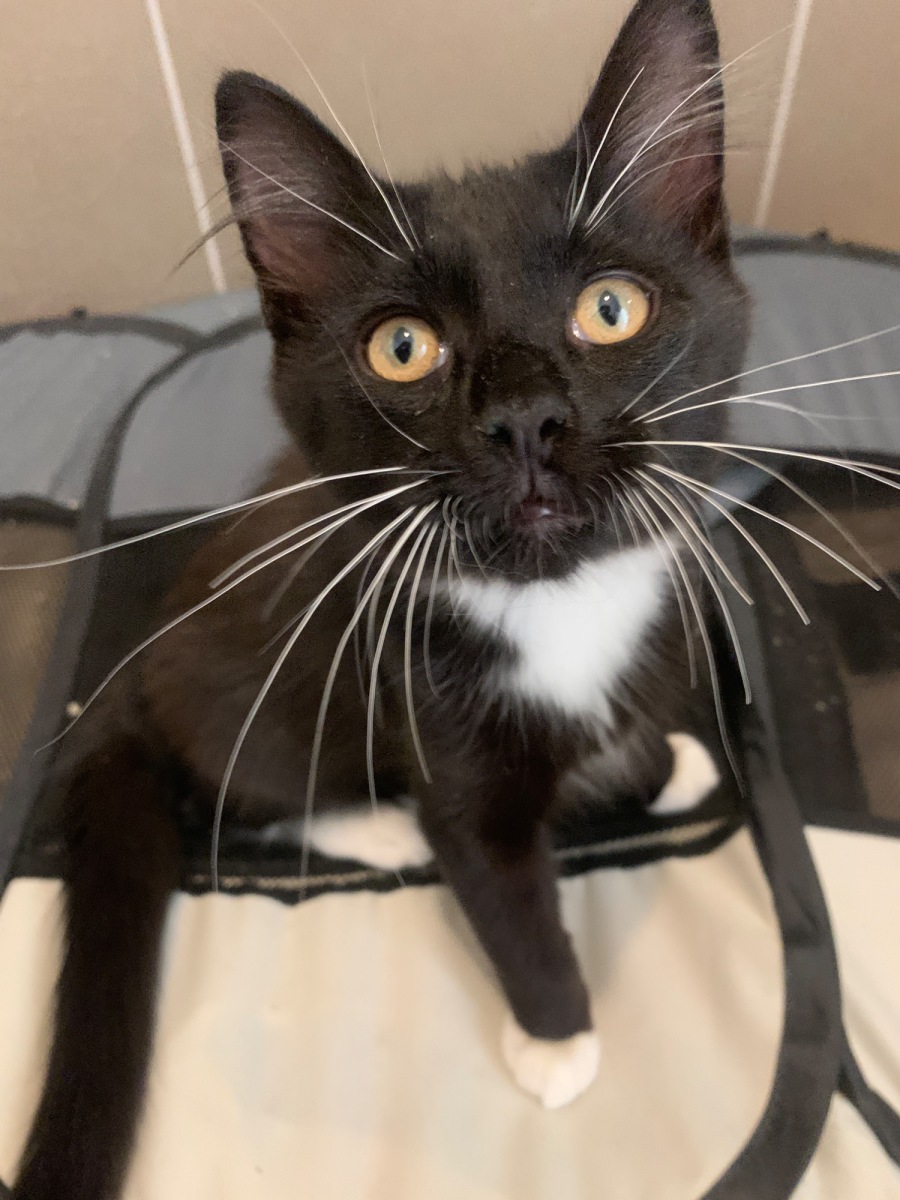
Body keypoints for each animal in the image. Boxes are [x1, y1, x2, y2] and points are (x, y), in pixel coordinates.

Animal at [11, 0, 750, 1195]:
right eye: (404, 347)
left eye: (611, 307)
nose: (527, 417)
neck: (552, 602)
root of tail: (126, 682)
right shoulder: (428, 716)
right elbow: (500, 893)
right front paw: (556, 1038)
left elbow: (622, 726)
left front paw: (657, 763)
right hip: (249, 703)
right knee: (237, 795)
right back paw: (376, 828)